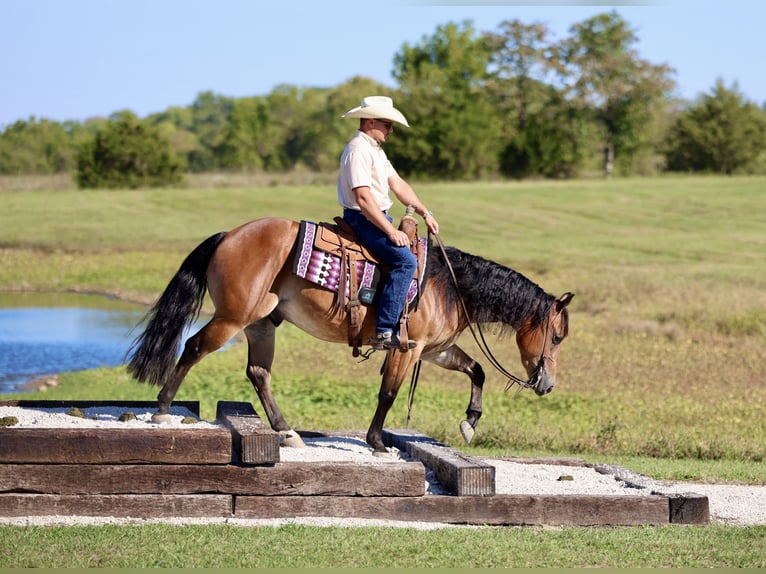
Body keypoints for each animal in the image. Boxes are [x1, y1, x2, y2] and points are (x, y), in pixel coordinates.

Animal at [126, 217, 574, 454]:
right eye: (556, 338)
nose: (547, 384)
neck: (449, 285)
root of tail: (228, 235)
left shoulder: (435, 350)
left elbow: (477, 370)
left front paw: (470, 422)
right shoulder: (408, 348)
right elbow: (388, 394)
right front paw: (377, 442)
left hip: (260, 324)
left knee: (259, 373)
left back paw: (285, 431)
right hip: (232, 319)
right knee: (193, 347)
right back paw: (163, 408)